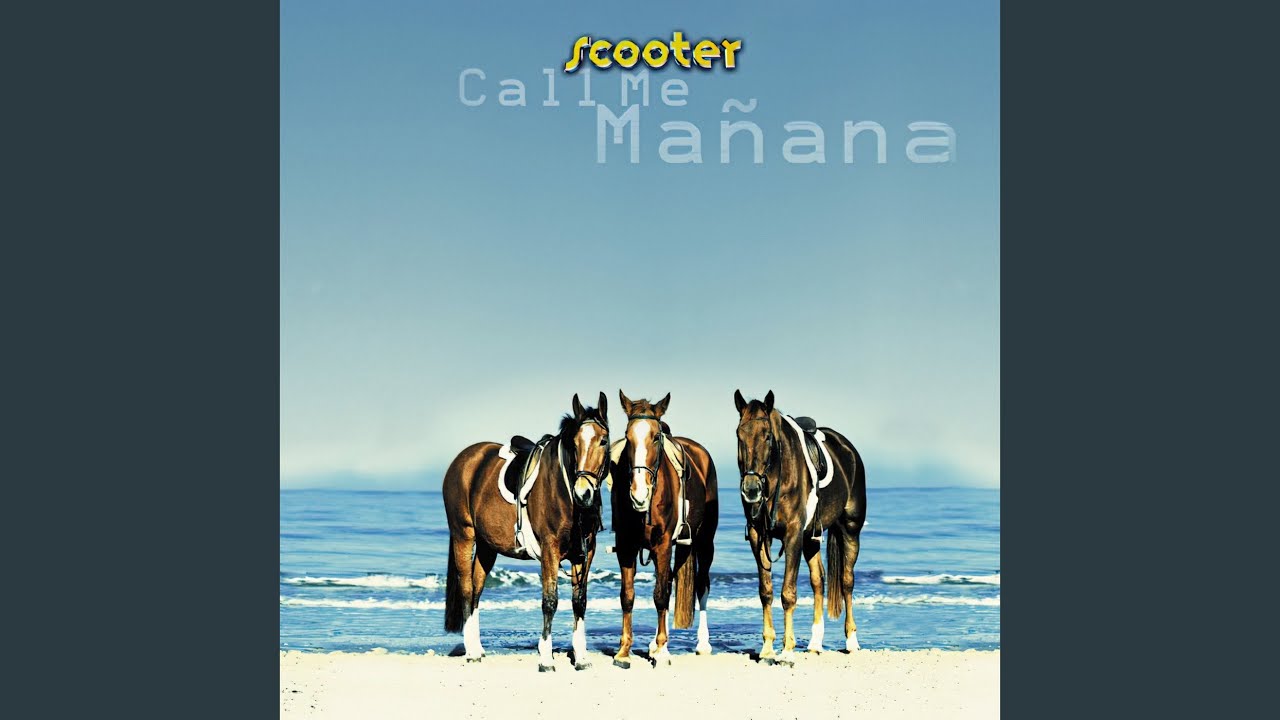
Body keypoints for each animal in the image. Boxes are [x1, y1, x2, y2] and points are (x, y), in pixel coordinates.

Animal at [442, 392, 611, 672]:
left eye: (604, 441)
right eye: (574, 443)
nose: (583, 493)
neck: (564, 491)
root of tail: (464, 459)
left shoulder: (585, 553)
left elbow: (580, 601)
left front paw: (581, 657)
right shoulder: (550, 551)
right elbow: (550, 601)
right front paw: (546, 658)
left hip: (487, 547)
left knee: (477, 589)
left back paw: (478, 647)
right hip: (463, 536)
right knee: (467, 588)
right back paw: (471, 652)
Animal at [608, 391, 718, 667]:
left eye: (656, 437)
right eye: (627, 436)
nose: (638, 494)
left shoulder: (663, 544)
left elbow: (660, 595)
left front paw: (662, 650)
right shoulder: (626, 546)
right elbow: (628, 596)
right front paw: (624, 651)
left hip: (704, 543)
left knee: (701, 585)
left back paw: (702, 644)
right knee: (668, 581)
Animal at [733, 389, 867, 665]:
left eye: (767, 436)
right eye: (739, 434)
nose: (751, 489)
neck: (777, 477)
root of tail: (848, 449)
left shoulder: (792, 535)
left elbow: (788, 593)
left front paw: (786, 651)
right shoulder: (759, 536)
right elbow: (766, 591)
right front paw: (767, 648)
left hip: (850, 529)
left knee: (847, 581)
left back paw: (852, 641)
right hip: (811, 538)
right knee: (819, 580)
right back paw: (815, 643)